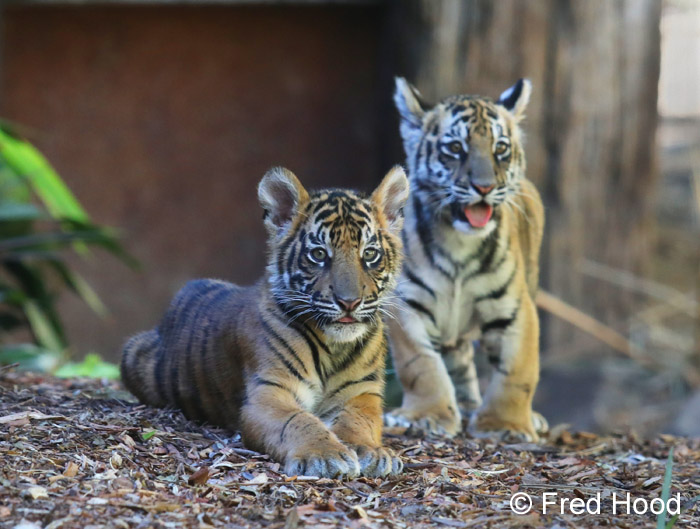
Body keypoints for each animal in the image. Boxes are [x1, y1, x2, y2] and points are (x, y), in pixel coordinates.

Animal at [121, 165, 409, 479]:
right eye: (319, 254)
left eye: (369, 254)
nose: (349, 302)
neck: (335, 346)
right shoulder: (269, 392)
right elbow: (298, 421)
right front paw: (325, 455)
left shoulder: (362, 393)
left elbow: (359, 421)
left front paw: (372, 452)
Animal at [383, 77, 548, 442]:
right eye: (455, 148)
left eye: (500, 148)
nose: (484, 187)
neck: (460, 242)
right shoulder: (409, 305)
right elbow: (421, 366)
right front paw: (427, 416)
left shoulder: (516, 309)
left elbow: (517, 372)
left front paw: (505, 426)